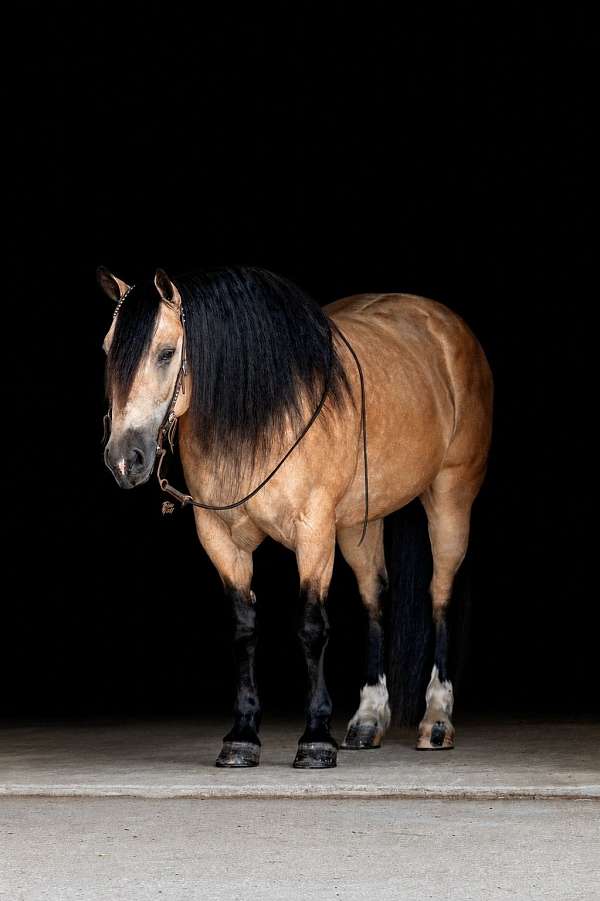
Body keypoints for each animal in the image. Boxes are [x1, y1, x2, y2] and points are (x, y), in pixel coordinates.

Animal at [98, 265, 493, 769]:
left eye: (166, 353)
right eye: (107, 349)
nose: (124, 460)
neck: (260, 418)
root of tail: (446, 326)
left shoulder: (314, 531)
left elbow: (311, 626)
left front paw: (316, 739)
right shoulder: (220, 538)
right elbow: (244, 628)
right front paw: (242, 736)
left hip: (450, 497)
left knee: (439, 595)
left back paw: (437, 721)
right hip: (360, 525)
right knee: (375, 599)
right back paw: (367, 720)